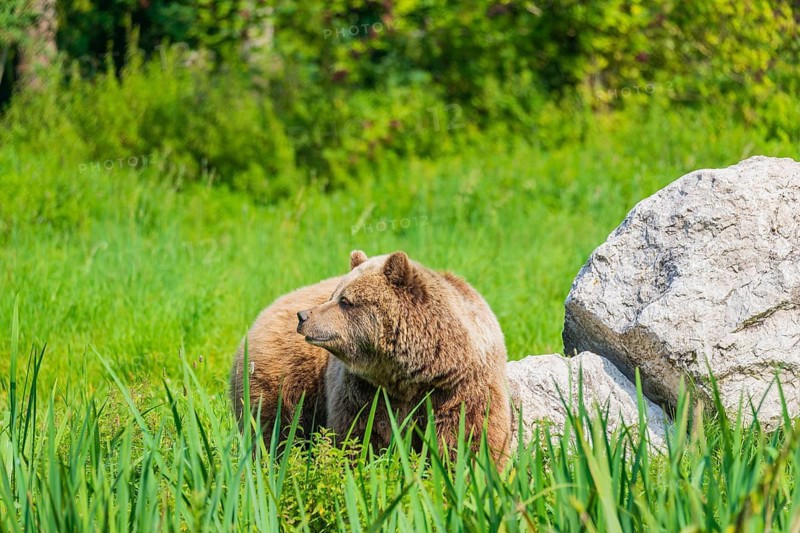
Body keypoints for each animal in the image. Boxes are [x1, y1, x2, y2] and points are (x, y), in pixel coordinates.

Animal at [230, 250, 511, 465]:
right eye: (334, 296)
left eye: (345, 301)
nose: (303, 316)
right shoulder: (364, 391)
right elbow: (361, 436)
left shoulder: (458, 389)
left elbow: (468, 438)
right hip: (284, 379)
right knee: (274, 430)